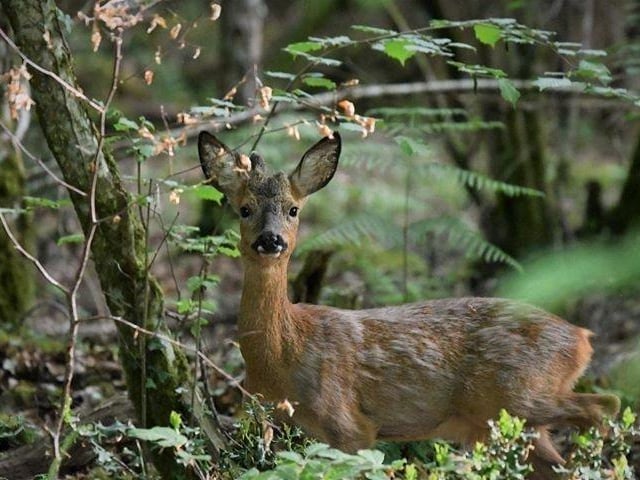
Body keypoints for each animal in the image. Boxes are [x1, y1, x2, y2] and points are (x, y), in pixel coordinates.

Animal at [198, 130, 620, 478]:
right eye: (244, 209)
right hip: (508, 421)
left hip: (520, 392)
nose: (270, 240)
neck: (284, 356)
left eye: (293, 209)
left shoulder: (349, 424)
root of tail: (582, 339)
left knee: (606, 404)